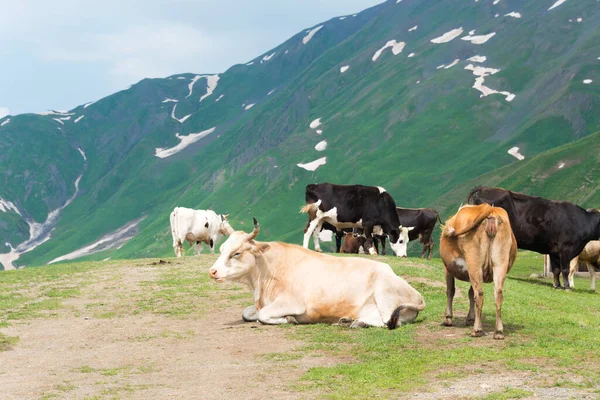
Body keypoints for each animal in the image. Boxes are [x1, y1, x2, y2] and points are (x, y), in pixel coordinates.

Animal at [210, 219, 426, 328]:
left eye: (236, 253)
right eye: (221, 250)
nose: (212, 271)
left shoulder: (293, 302)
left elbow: (263, 315)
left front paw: (289, 319)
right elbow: (247, 313)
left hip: (384, 294)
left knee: (389, 322)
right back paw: (349, 321)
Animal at [438, 205, 516, 340]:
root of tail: (489, 209)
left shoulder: (447, 267)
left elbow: (450, 291)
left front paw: (447, 318)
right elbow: (470, 293)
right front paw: (470, 318)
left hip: (474, 262)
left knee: (479, 294)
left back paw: (477, 330)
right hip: (500, 264)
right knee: (498, 294)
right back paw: (498, 332)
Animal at [466, 186, 600, 290]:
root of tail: (483, 188)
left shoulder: (554, 251)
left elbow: (556, 270)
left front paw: (557, 285)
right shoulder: (566, 249)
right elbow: (566, 269)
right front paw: (567, 287)